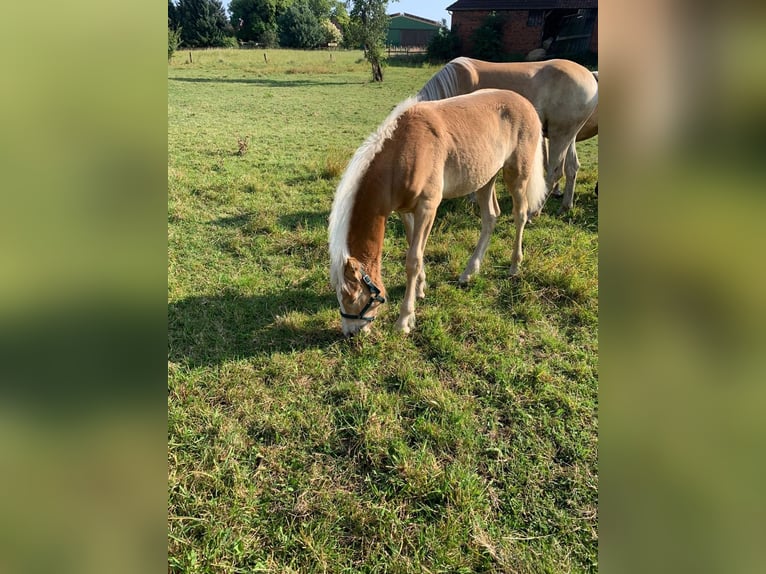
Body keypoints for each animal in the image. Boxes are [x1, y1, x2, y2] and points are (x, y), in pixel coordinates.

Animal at [416, 57, 596, 214]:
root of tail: (591, 79)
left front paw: (472, 198)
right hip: (568, 136)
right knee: (572, 168)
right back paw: (565, 207)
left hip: (559, 135)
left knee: (555, 173)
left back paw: (533, 212)